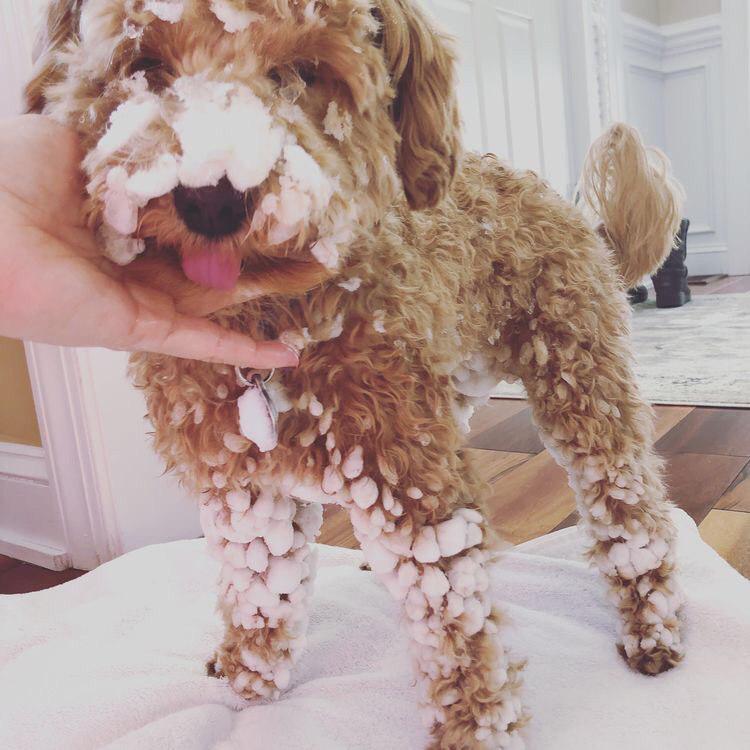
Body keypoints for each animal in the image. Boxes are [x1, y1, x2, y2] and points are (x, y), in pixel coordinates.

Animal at [27, 1, 688, 750]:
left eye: (303, 72)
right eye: (143, 65)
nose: (211, 198)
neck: (272, 321)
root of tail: (571, 210)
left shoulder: (416, 482)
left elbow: (454, 627)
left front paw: (475, 729)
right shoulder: (243, 487)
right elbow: (258, 587)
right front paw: (246, 677)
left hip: (580, 379)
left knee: (631, 507)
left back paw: (652, 625)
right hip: (450, 389)